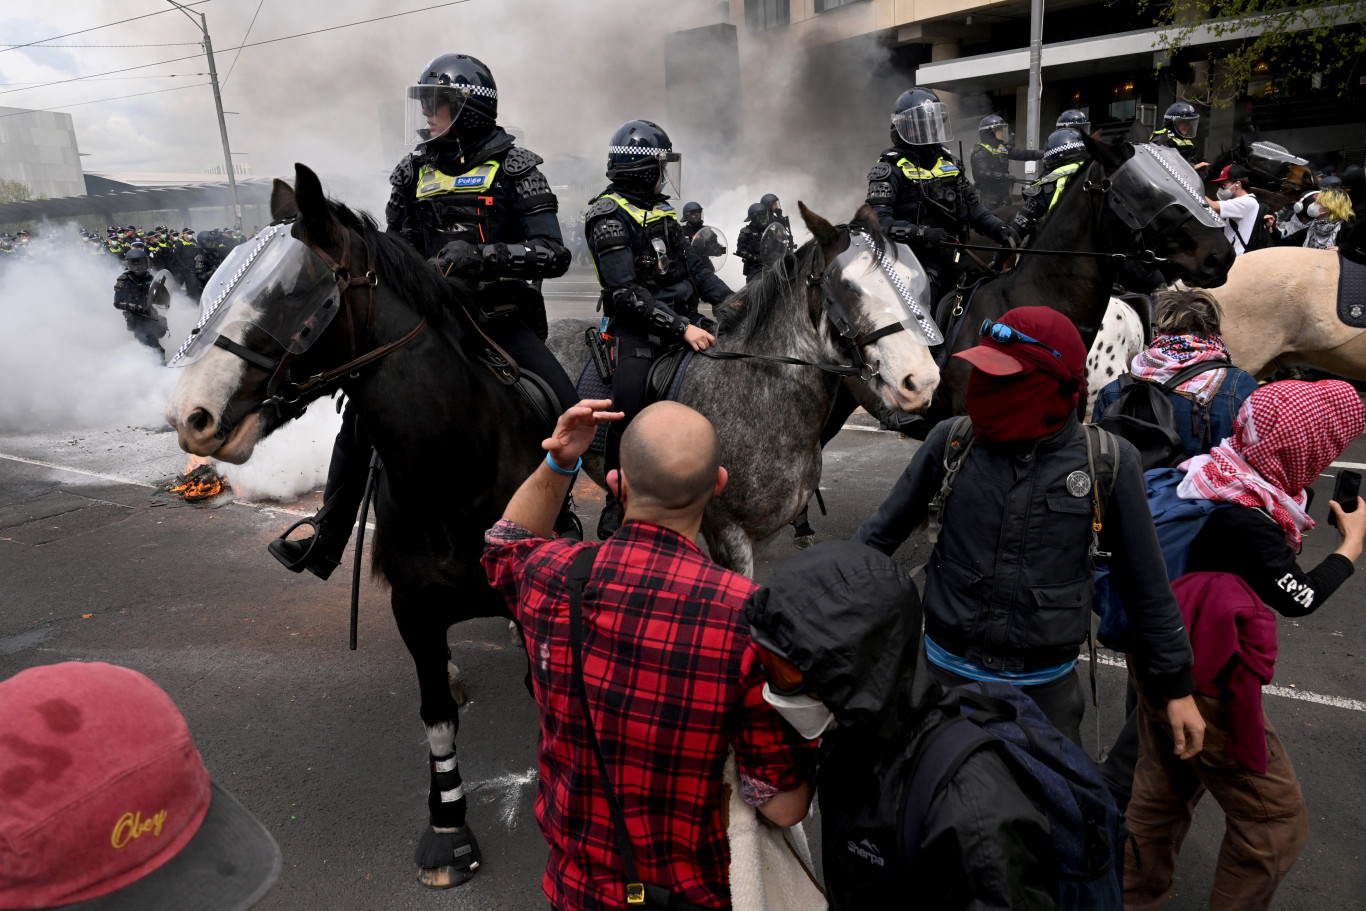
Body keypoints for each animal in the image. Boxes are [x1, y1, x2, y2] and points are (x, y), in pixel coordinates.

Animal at [168, 163, 551, 890]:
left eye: (291, 296)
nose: (190, 416)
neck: (455, 470)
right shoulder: (413, 608)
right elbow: (435, 717)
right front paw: (448, 830)